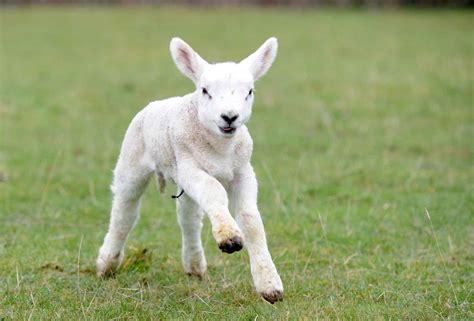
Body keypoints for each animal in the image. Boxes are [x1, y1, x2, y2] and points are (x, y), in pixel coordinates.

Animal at [94, 37, 284, 302]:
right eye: (205, 91)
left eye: (249, 92)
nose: (229, 117)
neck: (221, 150)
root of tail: (156, 103)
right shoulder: (190, 166)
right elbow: (215, 191)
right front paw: (229, 238)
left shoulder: (243, 172)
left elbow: (250, 219)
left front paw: (269, 284)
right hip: (132, 161)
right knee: (125, 211)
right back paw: (107, 263)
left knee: (188, 217)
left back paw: (194, 265)